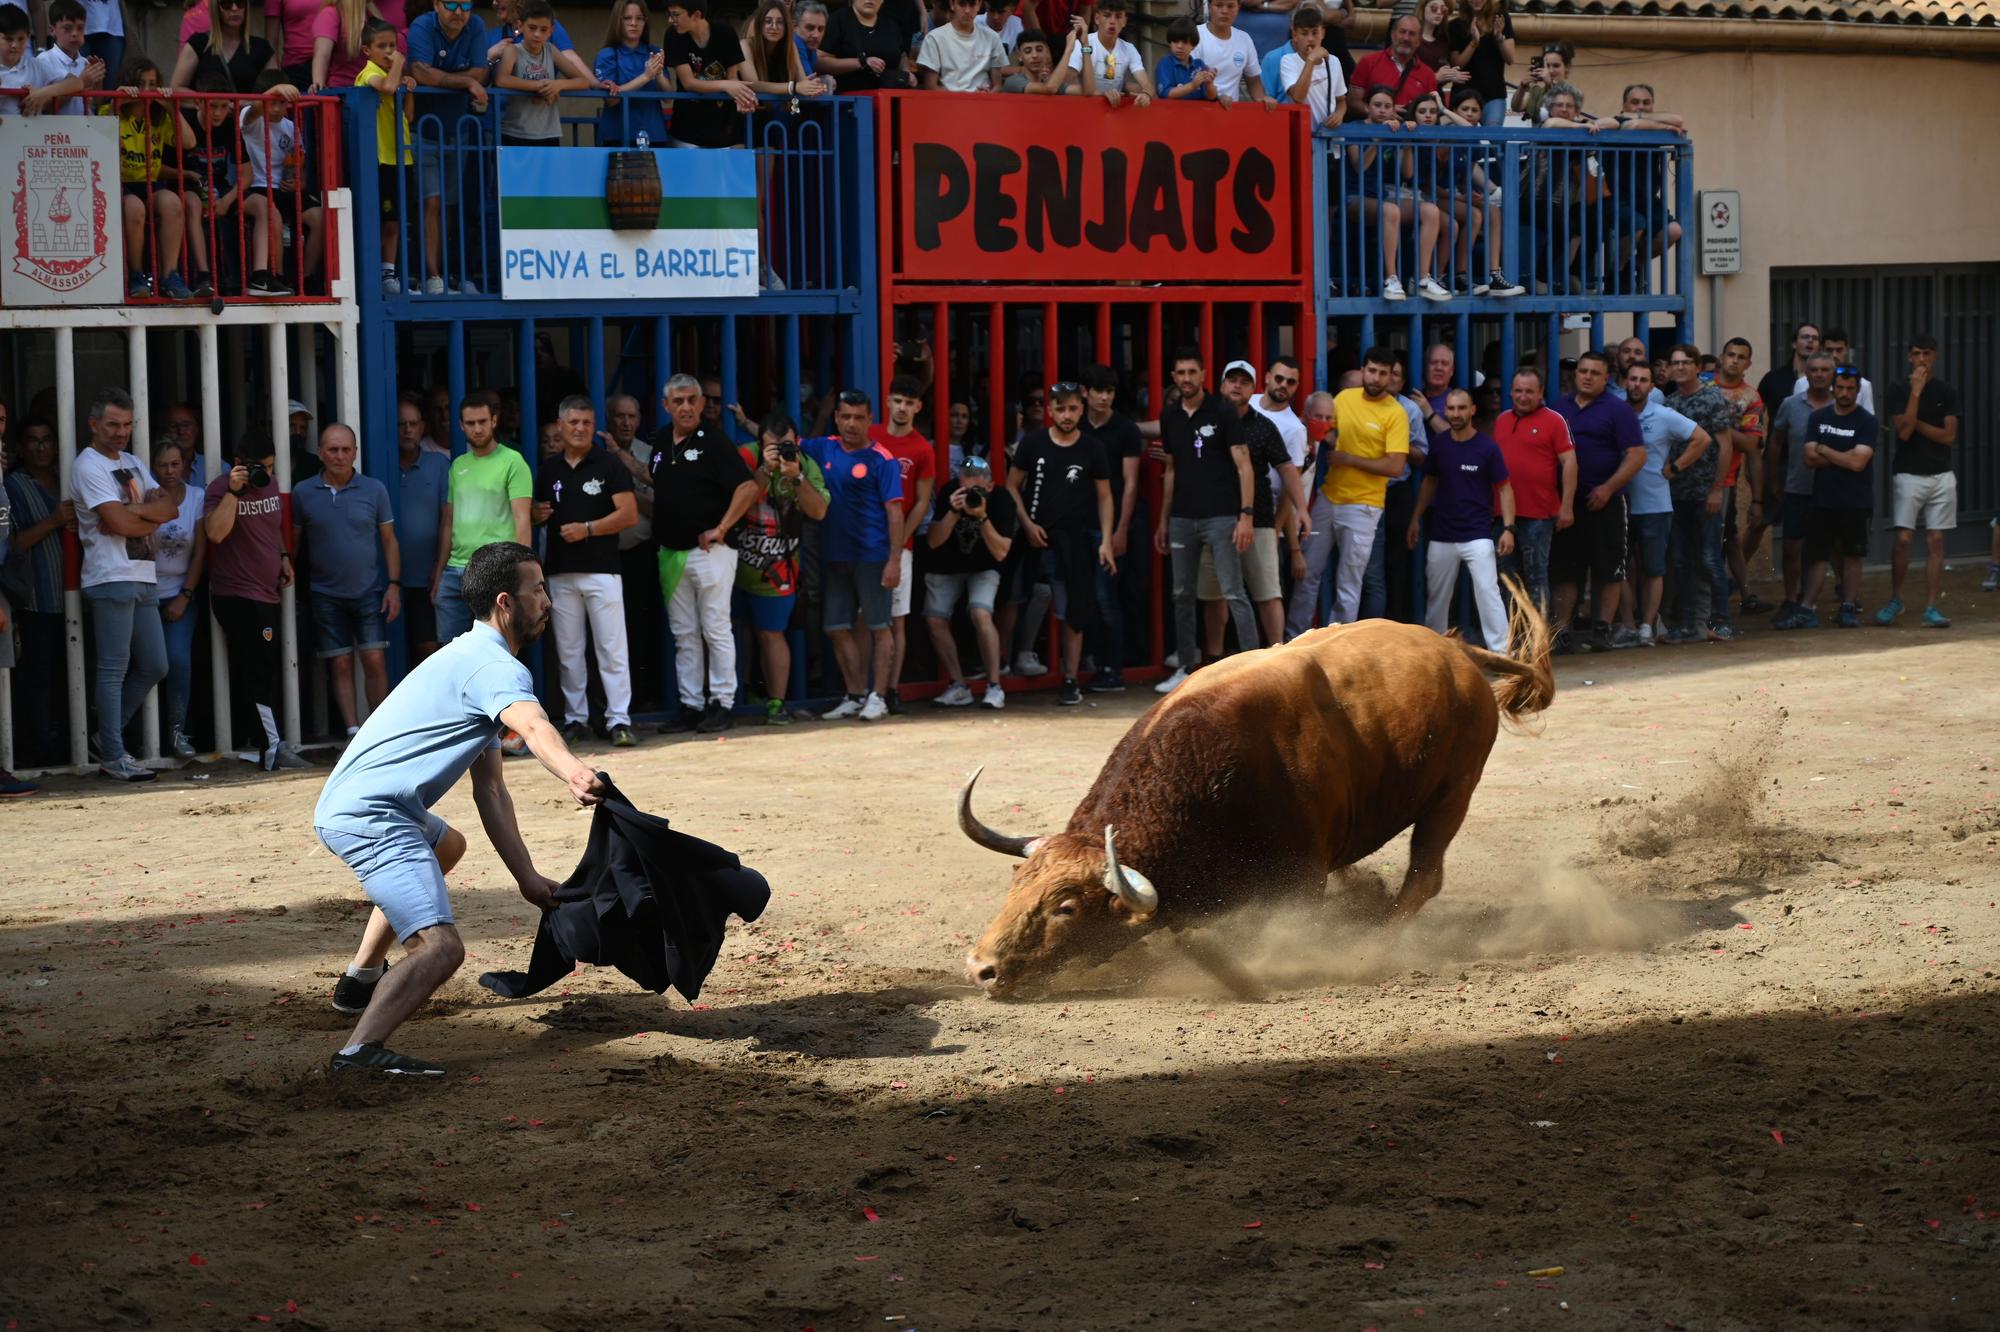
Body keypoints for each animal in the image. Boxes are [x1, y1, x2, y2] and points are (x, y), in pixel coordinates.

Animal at [960, 592, 1552, 996]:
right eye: (1017, 883)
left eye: (1066, 908)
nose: (981, 969)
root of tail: (1451, 648)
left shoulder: (1301, 879)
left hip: (1453, 793)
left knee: (1423, 876)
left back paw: (1378, 941)